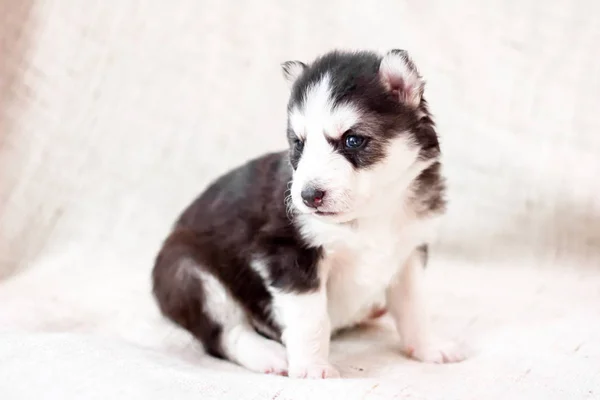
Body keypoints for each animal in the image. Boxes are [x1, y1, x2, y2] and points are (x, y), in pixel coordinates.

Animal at [152, 49, 466, 378]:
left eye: (352, 140)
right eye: (299, 143)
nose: (308, 196)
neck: (370, 213)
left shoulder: (409, 251)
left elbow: (415, 307)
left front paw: (429, 346)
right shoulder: (291, 255)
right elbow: (311, 319)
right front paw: (313, 367)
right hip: (188, 273)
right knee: (225, 333)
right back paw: (269, 355)